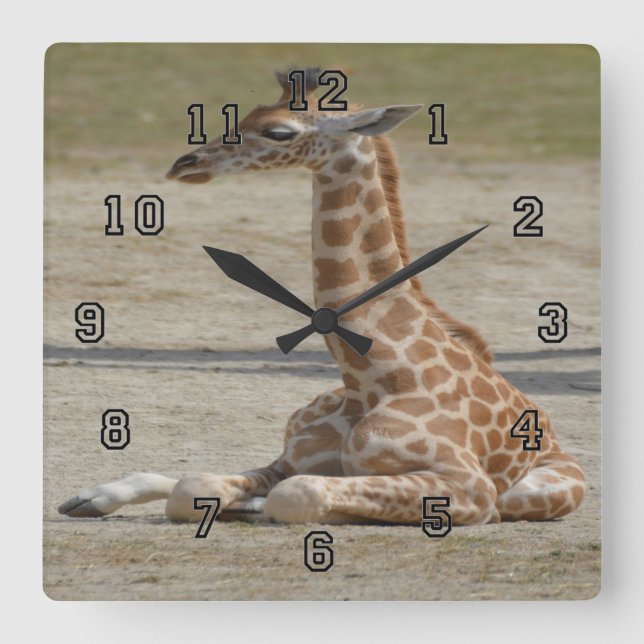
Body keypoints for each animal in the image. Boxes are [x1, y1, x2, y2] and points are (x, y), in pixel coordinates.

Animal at [59, 68, 585, 525]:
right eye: (245, 113)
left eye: (278, 131)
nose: (186, 163)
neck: (370, 377)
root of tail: (553, 435)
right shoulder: (292, 458)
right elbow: (195, 487)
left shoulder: (471, 487)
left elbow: (296, 495)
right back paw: (86, 498)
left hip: (537, 493)